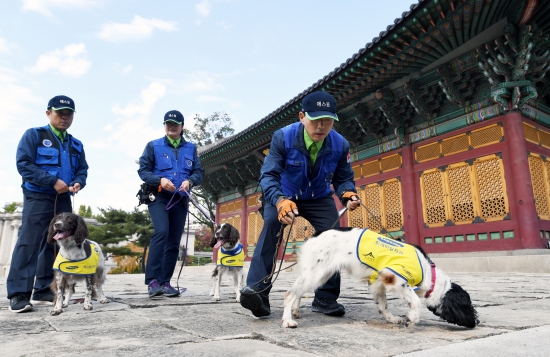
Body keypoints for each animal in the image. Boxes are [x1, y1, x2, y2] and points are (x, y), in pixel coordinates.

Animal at [282, 228, 480, 328]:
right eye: (468, 305)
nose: (477, 322)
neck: (429, 274)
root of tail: (313, 235)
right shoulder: (395, 276)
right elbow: (415, 300)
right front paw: (413, 317)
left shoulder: (378, 283)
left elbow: (383, 305)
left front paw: (391, 319)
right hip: (316, 272)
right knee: (290, 293)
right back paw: (287, 320)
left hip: (321, 274)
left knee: (298, 291)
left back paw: (296, 311)